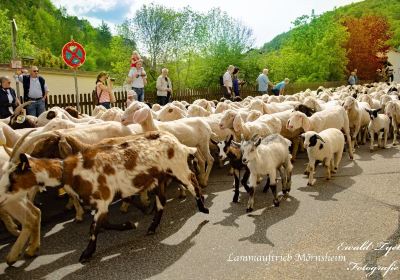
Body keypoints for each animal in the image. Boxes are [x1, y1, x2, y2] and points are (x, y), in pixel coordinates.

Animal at [1, 130, 209, 264]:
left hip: (178, 169)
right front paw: (129, 224)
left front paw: (86, 254)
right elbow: (103, 224)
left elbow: (94, 228)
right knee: (162, 203)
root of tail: (178, 142)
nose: (2, 197)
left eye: (12, 177)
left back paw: (203, 207)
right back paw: (151, 227)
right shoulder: (100, 203)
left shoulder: (102, 199)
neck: (73, 170)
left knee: (193, 182)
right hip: (159, 179)